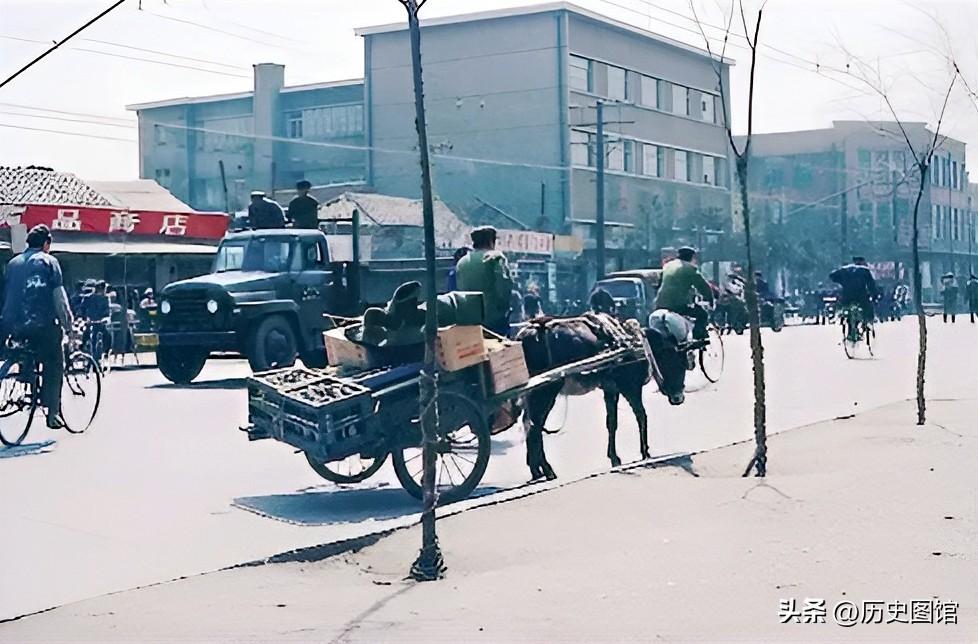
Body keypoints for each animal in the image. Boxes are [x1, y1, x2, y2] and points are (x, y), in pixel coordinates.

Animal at [510, 314, 688, 480]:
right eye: (675, 360)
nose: (678, 398)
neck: (639, 345)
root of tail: (524, 335)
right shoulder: (629, 386)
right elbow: (641, 416)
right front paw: (645, 452)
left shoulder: (610, 389)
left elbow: (612, 422)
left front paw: (614, 458)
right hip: (545, 391)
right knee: (535, 427)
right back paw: (547, 471)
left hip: (535, 394)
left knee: (529, 424)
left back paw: (536, 470)